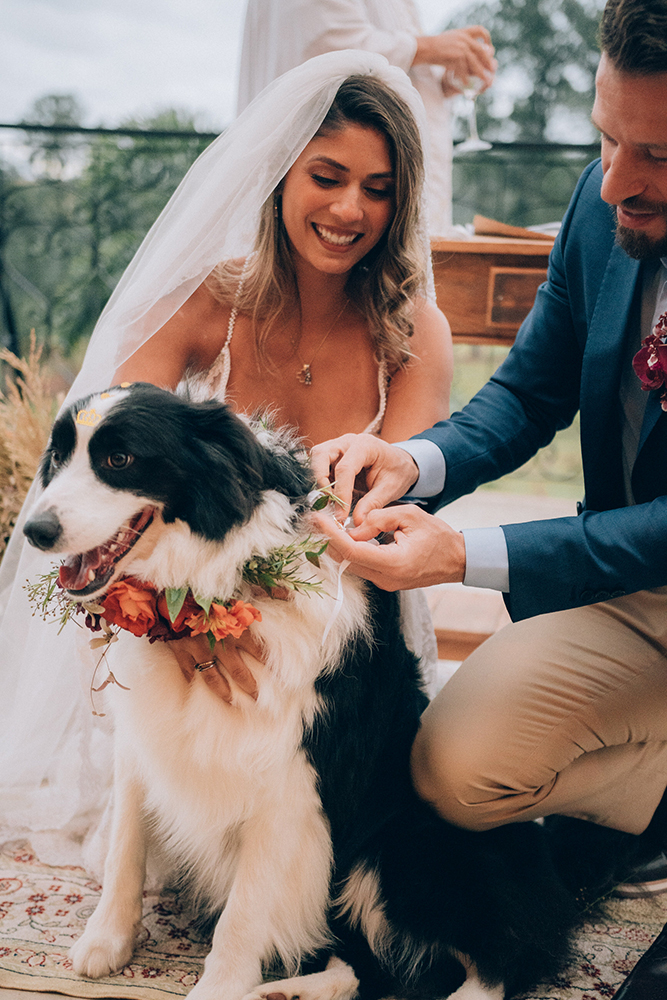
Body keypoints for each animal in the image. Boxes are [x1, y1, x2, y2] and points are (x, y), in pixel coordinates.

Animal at [23, 382, 580, 1000]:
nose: (33, 531)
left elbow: (245, 907)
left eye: (119, 459)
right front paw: (107, 942)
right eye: (58, 457)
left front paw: (219, 987)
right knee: (366, 963)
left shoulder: (287, 775)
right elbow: (126, 848)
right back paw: (288, 989)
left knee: (494, 963)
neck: (228, 575)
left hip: (407, 850)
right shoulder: (145, 740)